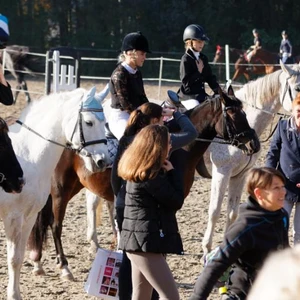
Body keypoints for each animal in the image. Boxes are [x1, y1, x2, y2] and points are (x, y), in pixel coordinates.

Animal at [0, 86, 110, 300]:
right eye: (89, 122)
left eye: (105, 122)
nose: (103, 161)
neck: (29, 156)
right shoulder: (13, 217)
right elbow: (13, 258)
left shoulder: (29, 216)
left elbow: (19, 258)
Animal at [28, 85, 260, 282]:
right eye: (233, 114)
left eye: (245, 113)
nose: (254, 144)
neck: (179, 149)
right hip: (61, 189)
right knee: (55, 225)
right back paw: (64, 267)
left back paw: (38, 262)